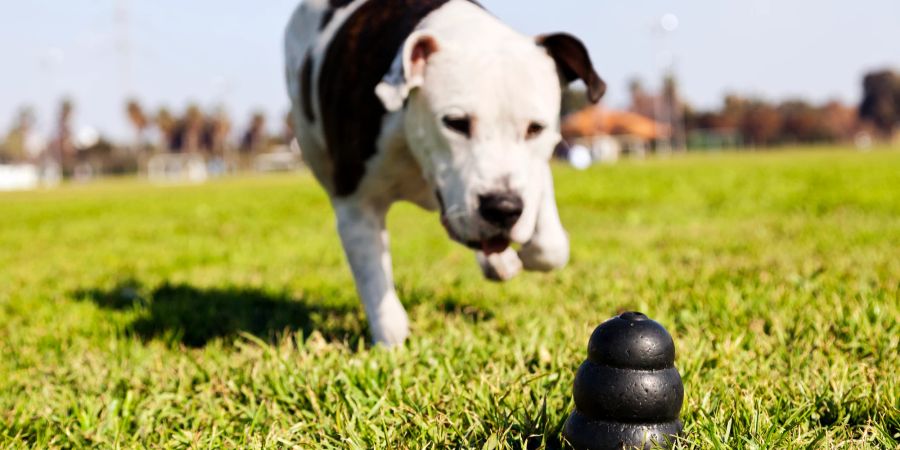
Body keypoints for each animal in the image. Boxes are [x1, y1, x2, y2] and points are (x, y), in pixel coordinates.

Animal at [282, 0, 604, 346]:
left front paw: (524, 252)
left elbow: (551, 246)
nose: (502, 208)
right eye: (455, 123)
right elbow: (377, 286)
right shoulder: (356, 206)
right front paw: (392, 343)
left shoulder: (530, 174)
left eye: (535, 128)